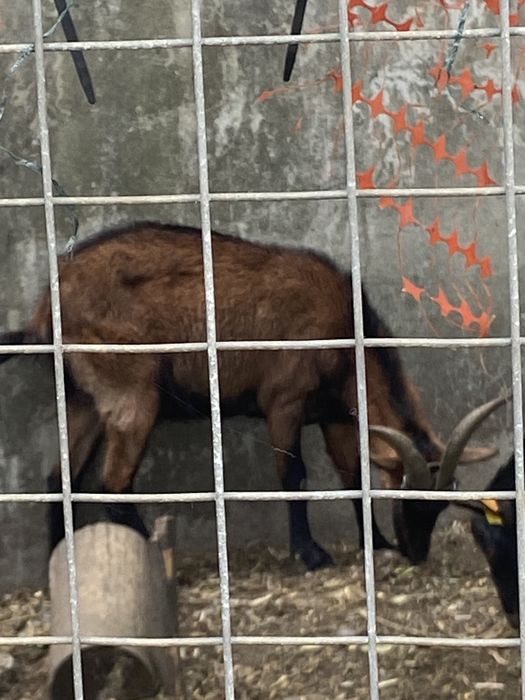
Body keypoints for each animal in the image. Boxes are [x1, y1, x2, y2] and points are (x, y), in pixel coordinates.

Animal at [0, 221, 499, 568]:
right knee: (113, 482)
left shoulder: (335, 413)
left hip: (83, 400)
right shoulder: (284, 401)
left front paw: (376, 545)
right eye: (411, 495)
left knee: (60, 478)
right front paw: (311, 554)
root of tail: (44, 311)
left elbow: (353, 475)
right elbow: (294, 475)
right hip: (131, 394)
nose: (417, 552)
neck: (343, 327)